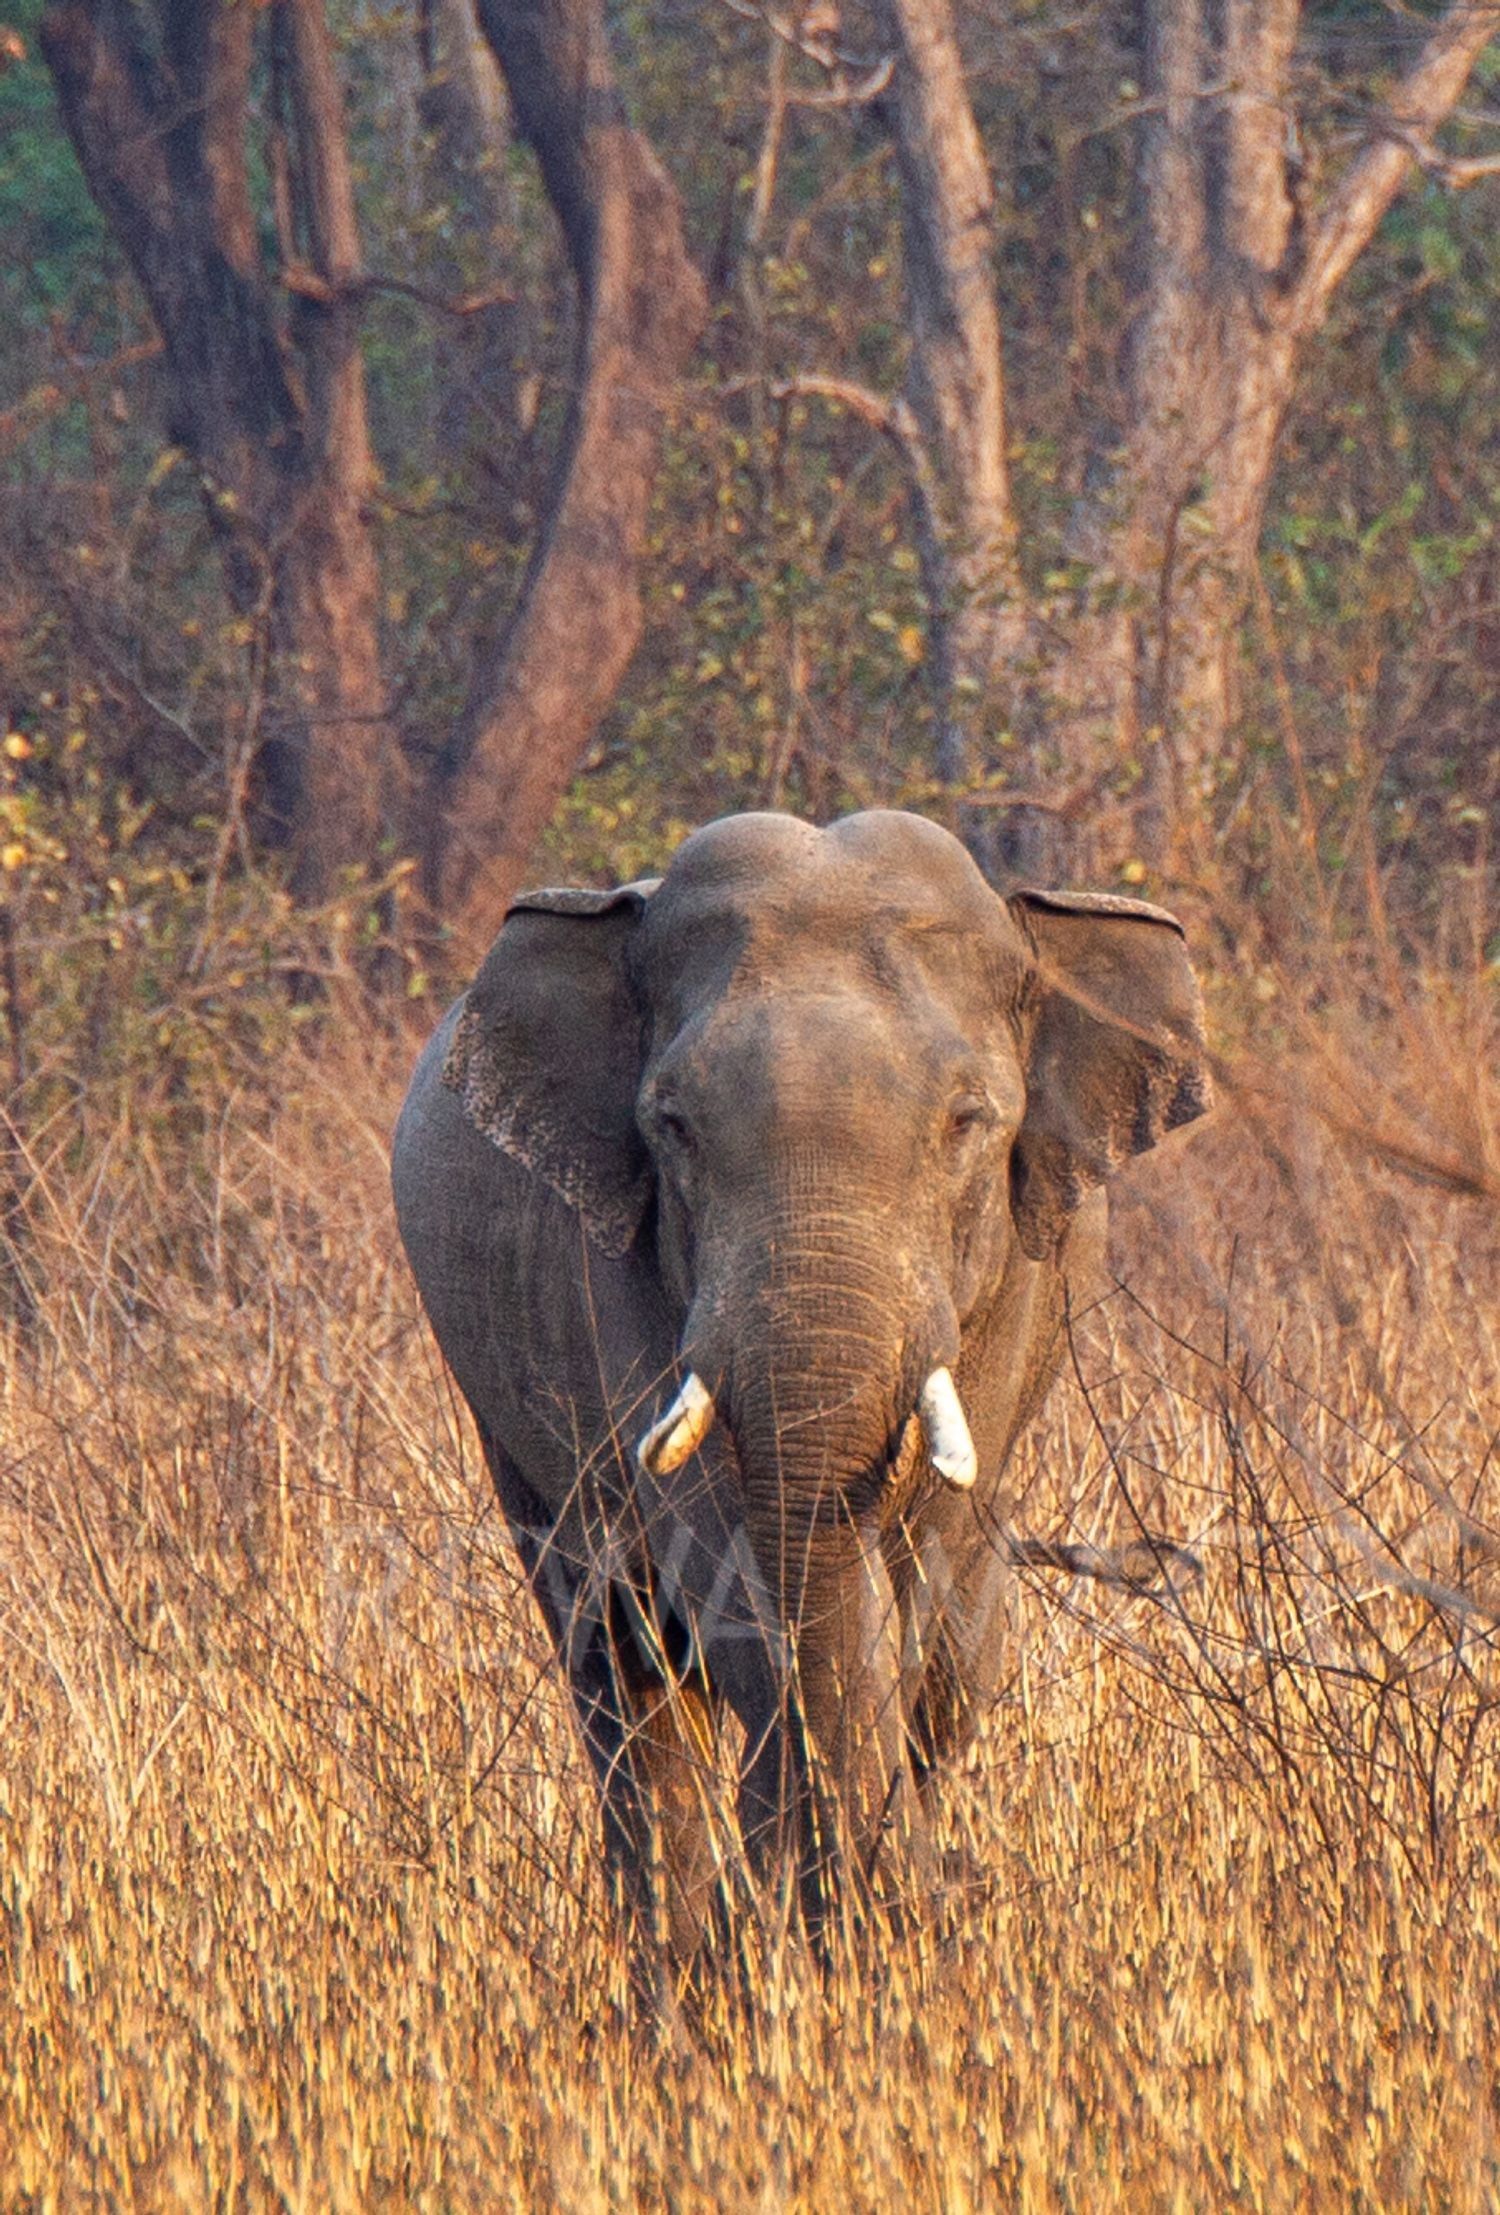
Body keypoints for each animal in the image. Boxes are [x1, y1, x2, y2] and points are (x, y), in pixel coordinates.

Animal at [391, 808, 1210, 1954]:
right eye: (672, 1125)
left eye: (968, 1121)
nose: (940, 1901)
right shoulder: (616, 1280)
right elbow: (729, 1568)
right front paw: (826, 1924)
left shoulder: (1021, 1287)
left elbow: (926, 1590)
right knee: (616, 1662)